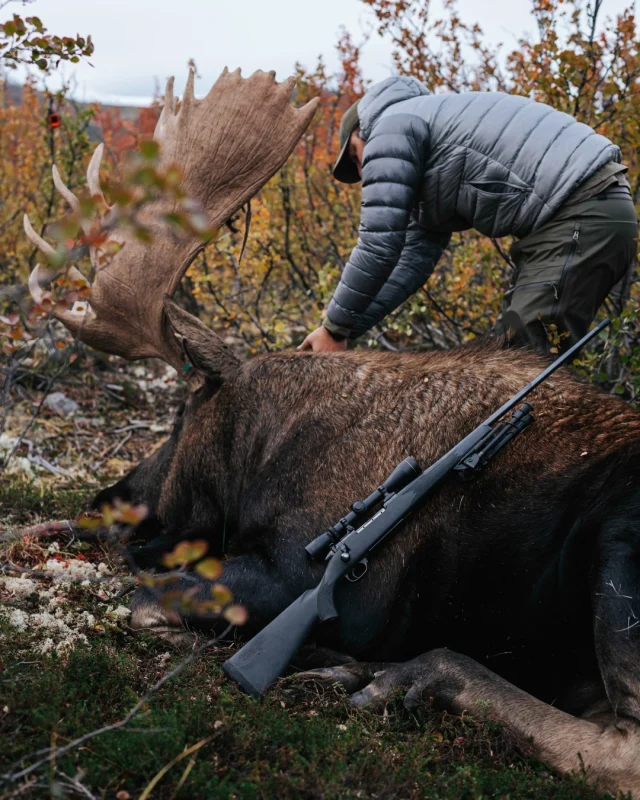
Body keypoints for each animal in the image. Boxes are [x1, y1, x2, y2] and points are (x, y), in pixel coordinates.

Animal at [27, 67, 640, 792]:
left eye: (180, 416)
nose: (105, 500)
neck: (264, 450)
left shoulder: (297, 575)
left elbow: (142, 593)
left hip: (620, 550)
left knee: (618, 749)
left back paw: (402, 674)